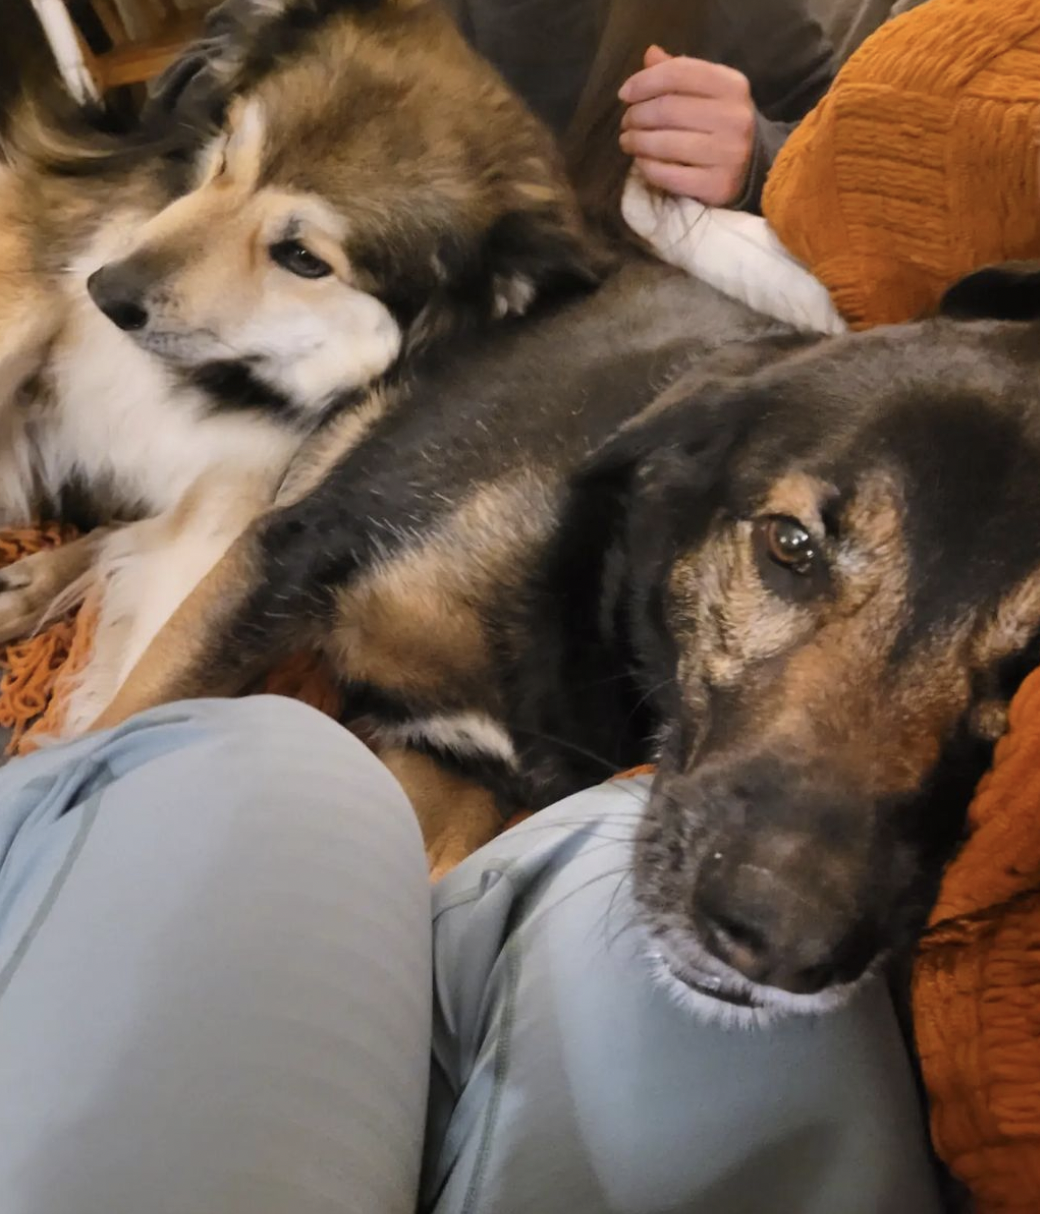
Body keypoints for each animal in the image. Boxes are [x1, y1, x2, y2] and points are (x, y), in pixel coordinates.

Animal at [86, 254, 1040, 1021]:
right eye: (790, 546)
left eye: (1029, 663)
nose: (785, 942)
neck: (606, 618)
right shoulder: (295, 553)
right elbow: (130, 718)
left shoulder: (450, 772)